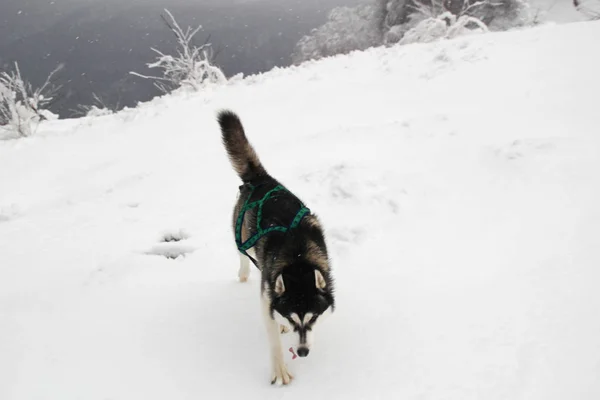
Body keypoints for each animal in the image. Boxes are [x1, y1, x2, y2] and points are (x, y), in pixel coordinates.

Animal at [218, 109, 336, 384]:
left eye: (313, 318)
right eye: (294, 319)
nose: (302, 352)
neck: (298, 258)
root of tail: (261, 179)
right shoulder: (266, 297)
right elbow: (272, 337)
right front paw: (279, 368)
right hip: (241, 232)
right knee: (242, 253)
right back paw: (243, 273)